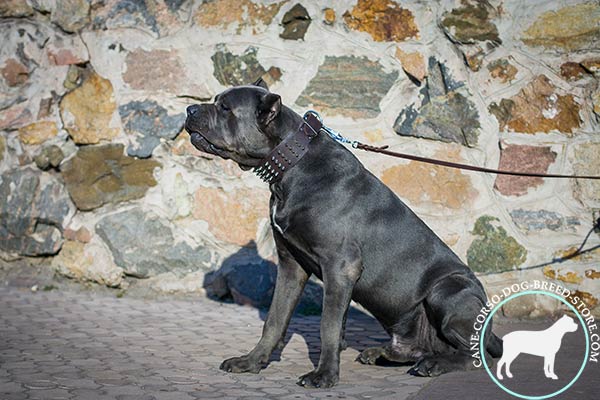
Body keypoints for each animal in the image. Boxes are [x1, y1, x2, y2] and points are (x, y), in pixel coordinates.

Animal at [186, 78, 502, 388]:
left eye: (225, 108)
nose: (190, 109)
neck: (293, 167)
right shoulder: (291, 264)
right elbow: (275, 319)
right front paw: (252, 362)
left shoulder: (339, 266)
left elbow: (328, 324)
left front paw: (324, 375)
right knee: (419, 348)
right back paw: (382, 354)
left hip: (446, 291)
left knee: (475, 354)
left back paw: (435, 364)